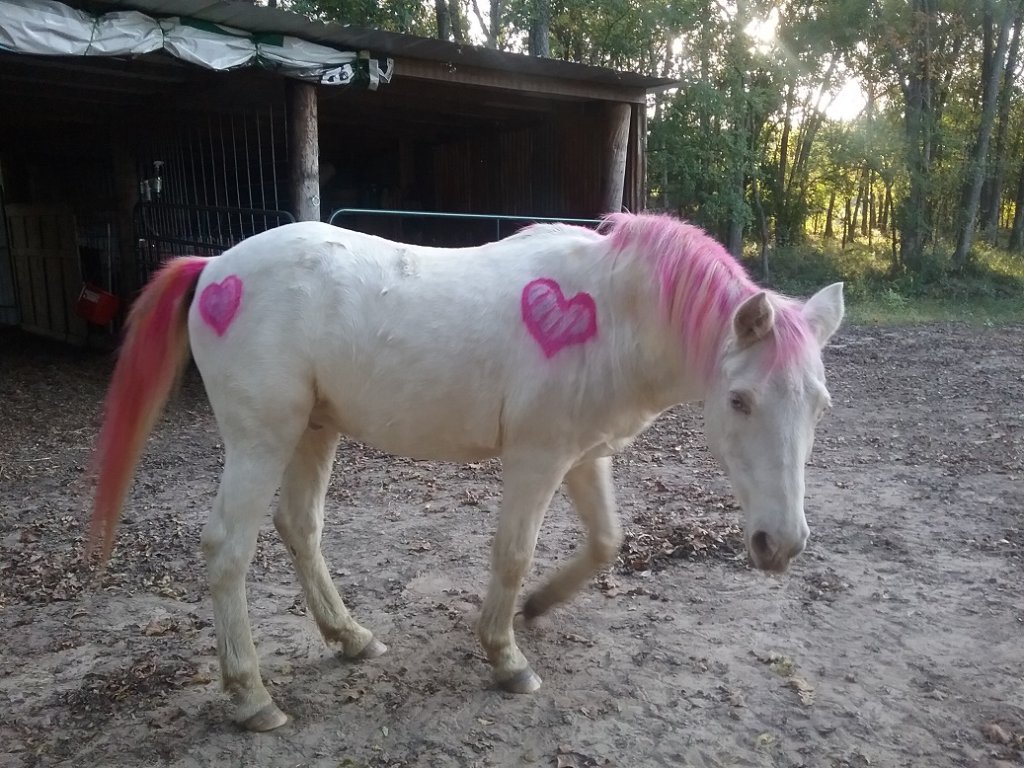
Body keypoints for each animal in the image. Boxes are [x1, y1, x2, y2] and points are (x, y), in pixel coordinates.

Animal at [89, 213, 844, 731]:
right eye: (740, 400)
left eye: (820, 403)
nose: (781, 544)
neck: (612, 318)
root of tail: (216, 266)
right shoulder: (536, 460)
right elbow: (512, 553)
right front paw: (506, 658)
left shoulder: (584, 456)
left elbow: (606, 543)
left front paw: (537, 606)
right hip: (261, 439)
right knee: (228, 550)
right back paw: (251, 699)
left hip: (312, 430)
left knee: (299, 527)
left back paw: (351, 638)